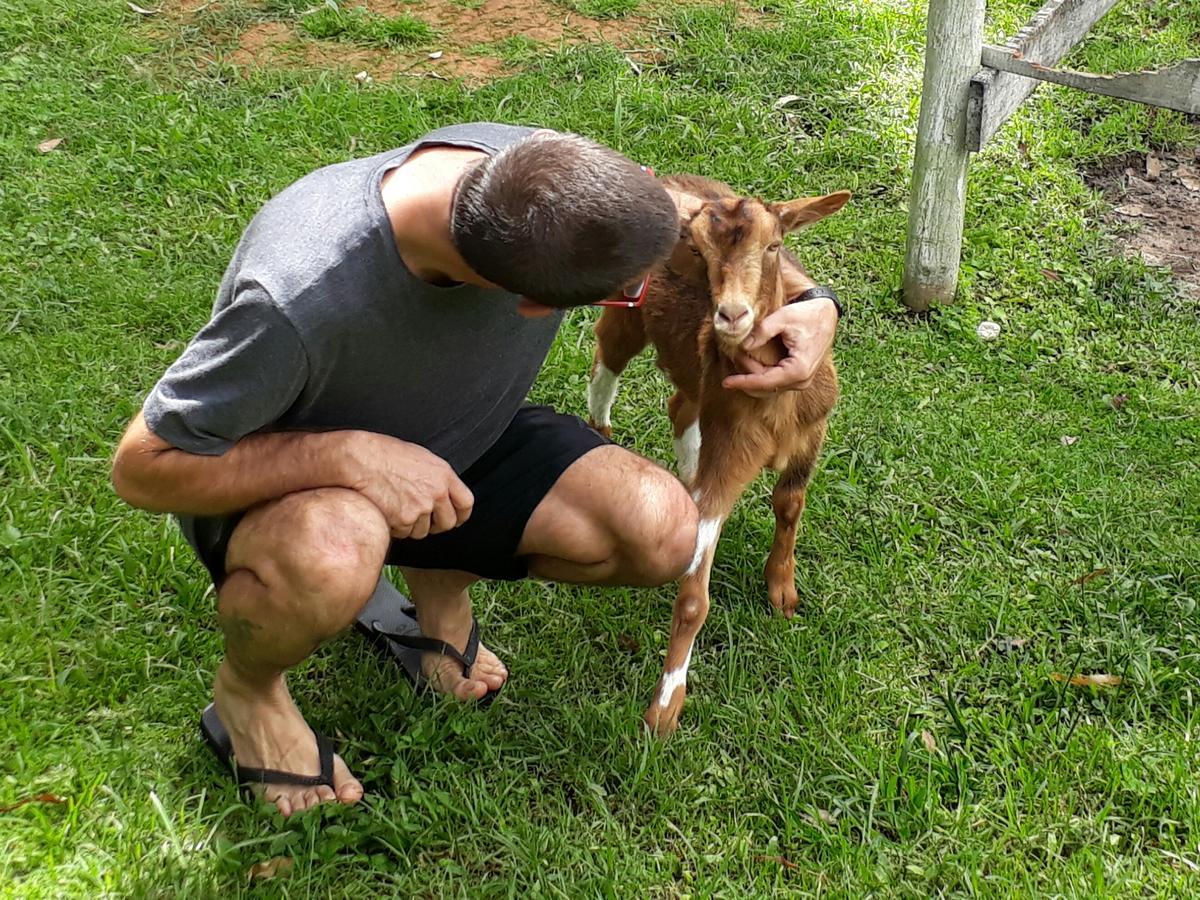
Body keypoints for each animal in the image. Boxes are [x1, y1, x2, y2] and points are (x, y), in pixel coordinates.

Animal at [588, 172, 849, 734]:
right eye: (697, 251)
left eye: (774, 246)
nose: (731, 314)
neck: (775, 402)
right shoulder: (729, 454)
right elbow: (693, 597)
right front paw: (665, 707)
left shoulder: (810, 435)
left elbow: (789, 505)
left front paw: (782, 592)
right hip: (629, 314)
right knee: (607, 360)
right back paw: (603, 429)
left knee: (680, 405)